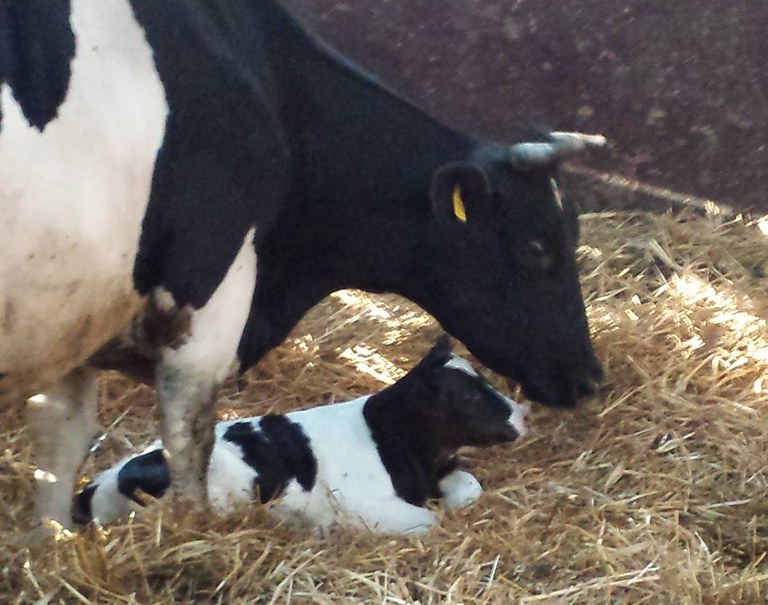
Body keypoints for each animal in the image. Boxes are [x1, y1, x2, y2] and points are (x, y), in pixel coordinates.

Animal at [73, 338, 528, 536]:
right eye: (467, 395)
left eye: (482, 379)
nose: (522, 415)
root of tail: (98, 483)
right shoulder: (363, 502)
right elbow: (428, 521)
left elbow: (468, 488)